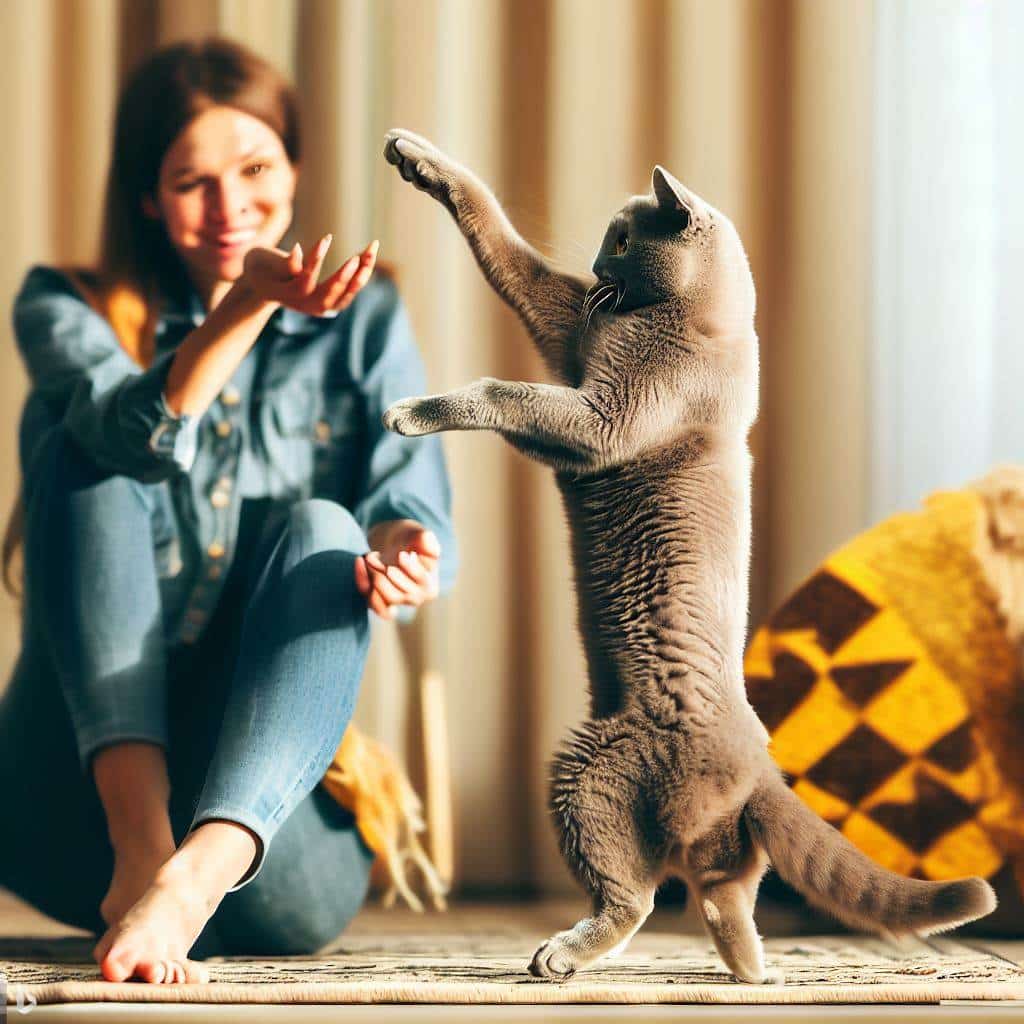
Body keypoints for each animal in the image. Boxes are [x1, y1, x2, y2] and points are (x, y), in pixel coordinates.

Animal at [380, 128, 995, 983]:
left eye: (623, 238)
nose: (598, 262)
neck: (675, 318)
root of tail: (759, 757)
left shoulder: (601, 414)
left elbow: (506, 393)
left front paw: (411, 411)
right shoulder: (569, 325)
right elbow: (501, 239)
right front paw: (417, 157)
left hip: (590, 766)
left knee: (636, 895)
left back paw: (562, 957)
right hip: (688, 821)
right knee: (724, 881)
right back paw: (750, 970)